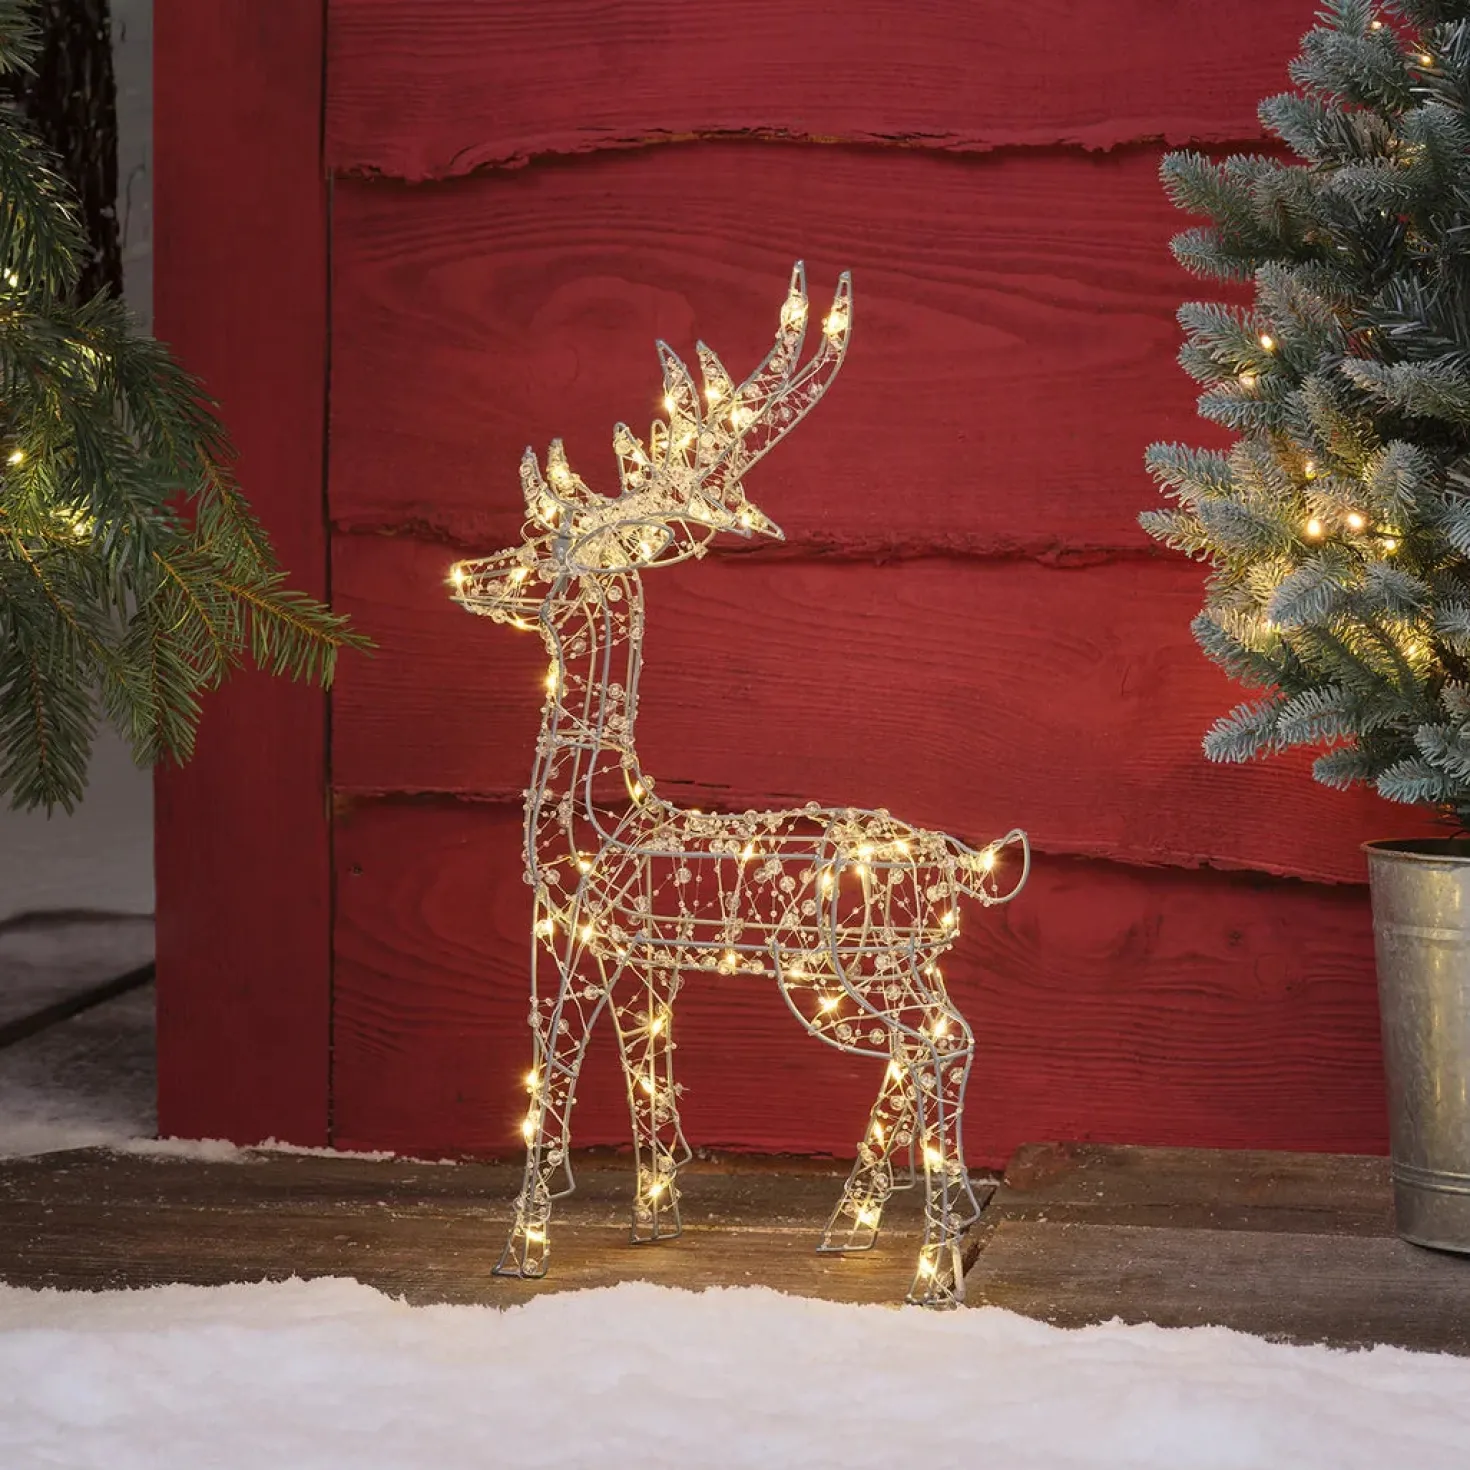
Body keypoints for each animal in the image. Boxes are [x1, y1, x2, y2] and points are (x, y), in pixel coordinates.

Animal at [450, 264, 1029, 1307]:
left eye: (542, 556)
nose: (467, 571)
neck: (591, 825)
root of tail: (963, 865)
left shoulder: (579, 942)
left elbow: (551, 1087)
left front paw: (522, 1248)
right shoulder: (649, 965)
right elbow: (645, 1077)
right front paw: (654, 1218)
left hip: (850, 970)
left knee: (939, 1045)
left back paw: (932, 1271)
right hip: (878, 971)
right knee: (936, 1048)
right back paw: (878, 1226)